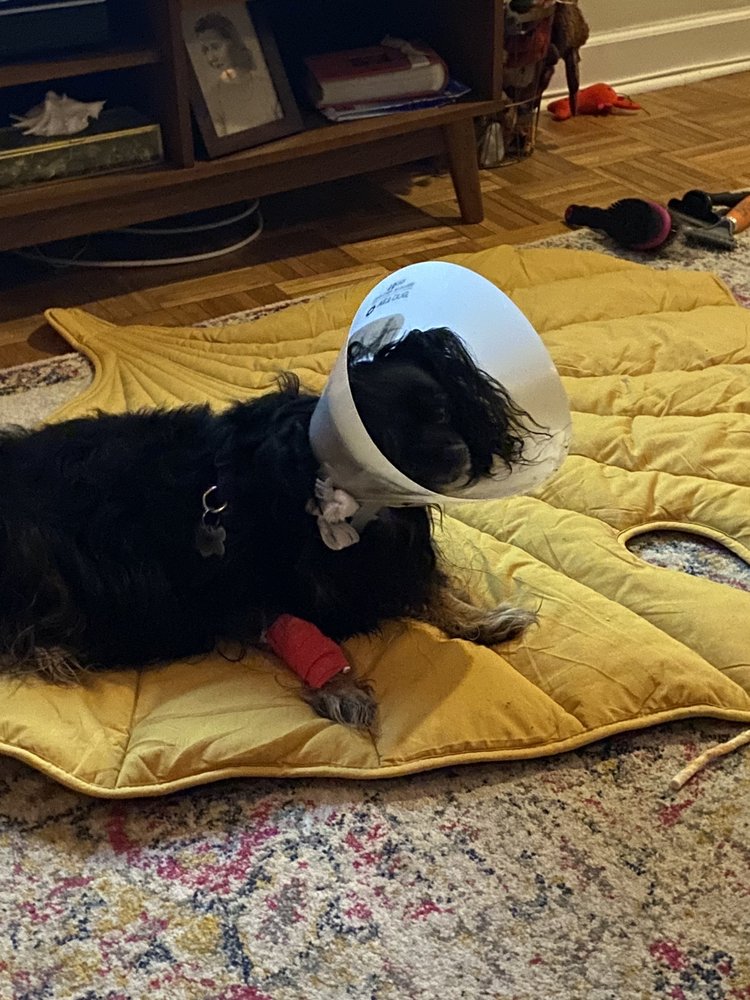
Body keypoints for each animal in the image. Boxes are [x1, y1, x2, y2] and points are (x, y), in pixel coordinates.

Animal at [0, 327, 539, 728]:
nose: (457, 452)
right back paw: (56, 651)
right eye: (383, 440)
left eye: (443, 410)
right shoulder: (248, 591)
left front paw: (478, 619)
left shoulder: (393, 556)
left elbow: (431, 587)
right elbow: (309, 633)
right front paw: (342, 689)